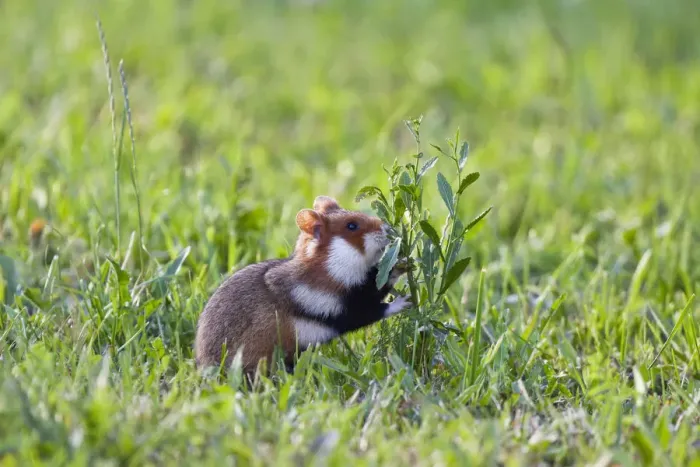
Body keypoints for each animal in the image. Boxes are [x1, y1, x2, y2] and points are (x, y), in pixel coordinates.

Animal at [194, 195, 411, 374]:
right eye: (351, 226)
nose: (389, 229)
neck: (330, 267)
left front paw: (403, 262)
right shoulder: (342, 307)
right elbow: (376, 306)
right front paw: (406, 301)